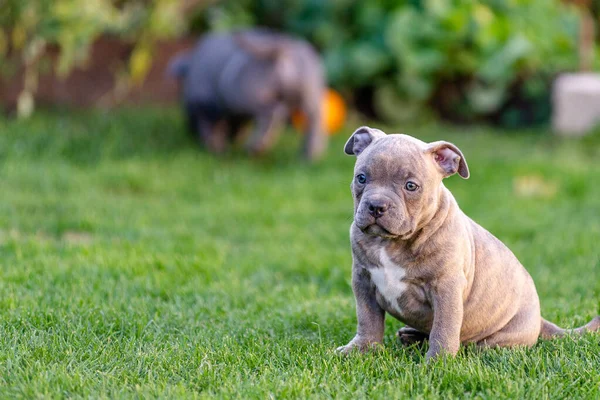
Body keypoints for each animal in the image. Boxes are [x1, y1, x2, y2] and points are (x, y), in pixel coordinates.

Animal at [168, 29, 328, 161]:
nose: (189, 132)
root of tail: (282, 47)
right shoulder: (233, 114)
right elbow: (235, 126)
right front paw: (231, 141)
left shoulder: (205, 105)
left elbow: (211, 128)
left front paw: (216, 148)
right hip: (311, 94)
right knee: (314, 121)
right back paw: (309, 156)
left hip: (247, 96)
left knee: (272, 114)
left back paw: (255, 148)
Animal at [338, 126, 600, 360]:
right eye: (361, 178)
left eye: (411, 186)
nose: (376, 206)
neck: (391, 243)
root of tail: (539, 320)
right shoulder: (362, 280)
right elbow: (368, 319)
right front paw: (361, 349)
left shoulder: (446, 288)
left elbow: (443, 328)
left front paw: (438, 362)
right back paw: (411, 335)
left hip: (499, 337)